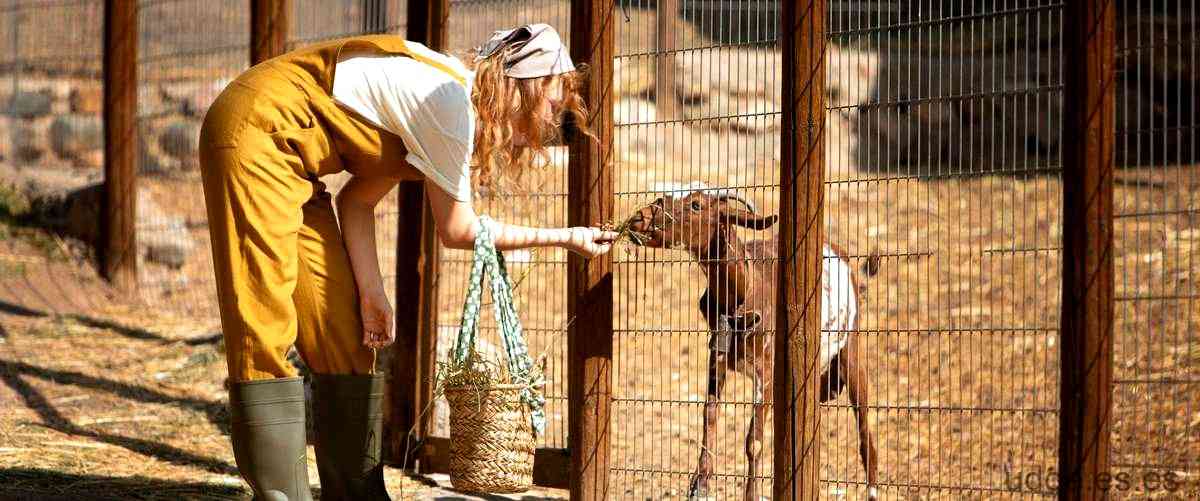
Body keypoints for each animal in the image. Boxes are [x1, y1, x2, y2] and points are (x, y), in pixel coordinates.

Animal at [628, 191, 883, 501]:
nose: (639, 217)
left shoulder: (767, 371)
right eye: (663, 198)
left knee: (864, 427)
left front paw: (751, 493)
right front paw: (700, 485)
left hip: (851, 347)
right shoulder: (717, 357)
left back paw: (872, 489)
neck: (744, 289)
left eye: (696, 205)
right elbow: (709, 416)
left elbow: (755, 440)